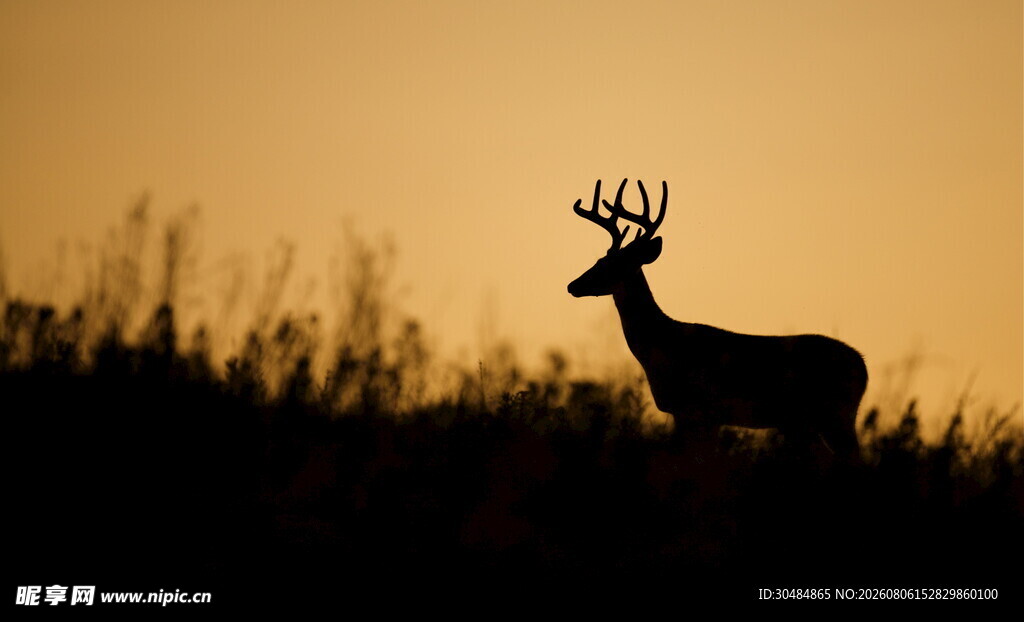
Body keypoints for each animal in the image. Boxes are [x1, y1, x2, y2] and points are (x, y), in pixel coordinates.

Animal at [567, 179, 868, 461]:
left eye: (607, 263)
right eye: (600, 259)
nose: (573, 285)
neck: (663, 344)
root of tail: (862, 367)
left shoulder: (697, 409)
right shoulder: (694, 414)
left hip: (834, 414)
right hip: (807, 421)